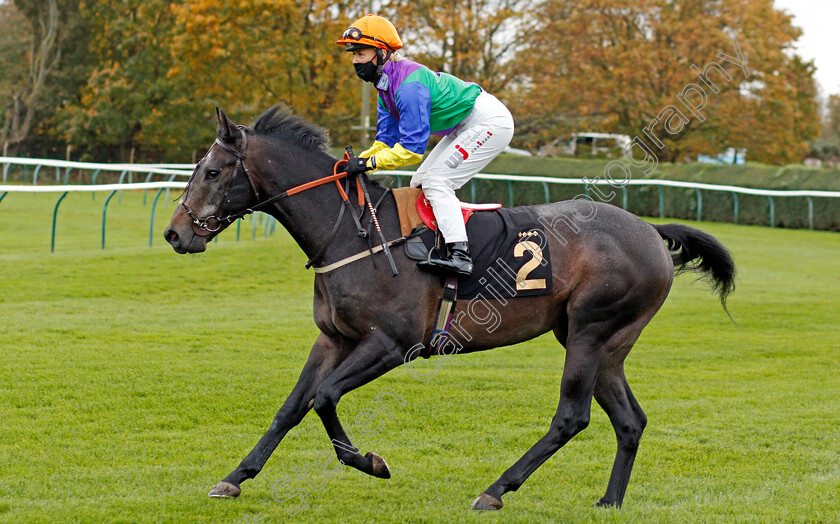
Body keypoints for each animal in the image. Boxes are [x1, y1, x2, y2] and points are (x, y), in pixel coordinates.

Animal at [164, 105, 736, 512]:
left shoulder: (391, 344)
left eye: (212, 171)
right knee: (629, 420)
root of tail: (650, 231)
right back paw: (609, 500)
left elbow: (324, 398)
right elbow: (292, 406)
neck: (354, 233)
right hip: (605, 343)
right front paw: (234, 478)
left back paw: (496, 490)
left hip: (591, 333)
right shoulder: (334, 338)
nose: (174, 233)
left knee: (571, 417)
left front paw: (371, 463)